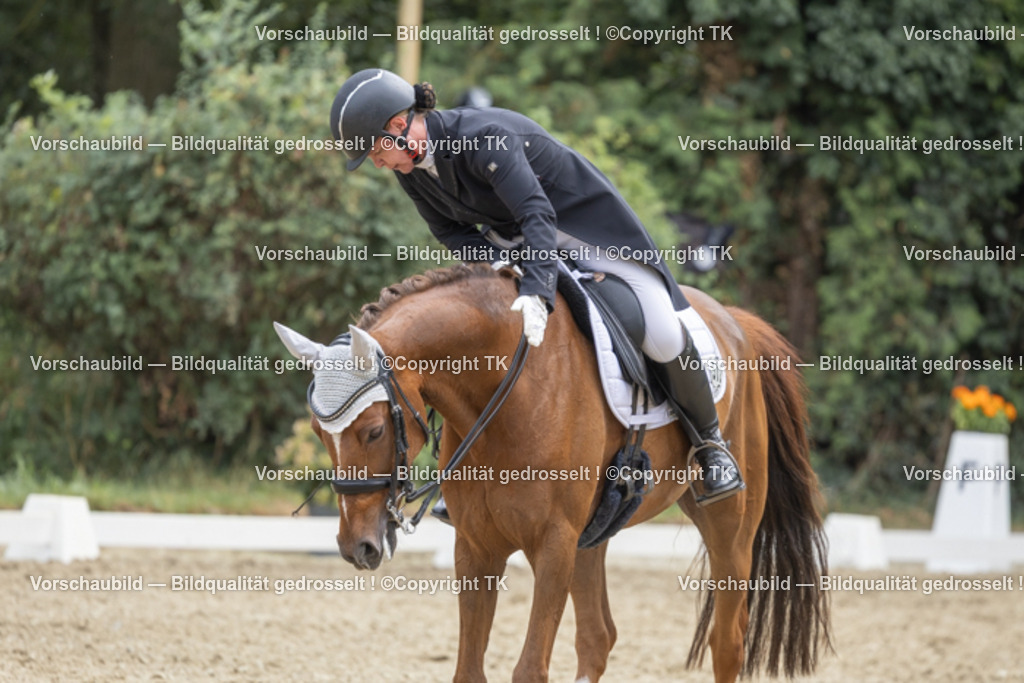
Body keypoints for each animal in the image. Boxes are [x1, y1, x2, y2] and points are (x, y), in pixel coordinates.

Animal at [274, 263, 832, 682]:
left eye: (372, 431)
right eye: (318, 432)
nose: (357, 547)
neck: (504, 393)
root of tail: (733, 320)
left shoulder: (554, 542)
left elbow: (529, 669)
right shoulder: (476, 546)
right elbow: (468, 669)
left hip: (729, 523)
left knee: (727, 640)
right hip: (595, 533)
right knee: (597, 638)